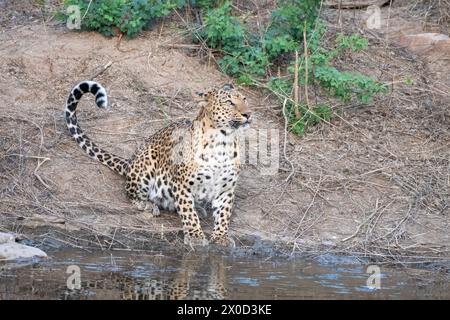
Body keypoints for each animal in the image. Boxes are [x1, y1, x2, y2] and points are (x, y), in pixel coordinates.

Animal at [65, 81, 251, 246]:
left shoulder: (226, 188)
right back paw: (148, 205)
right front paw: (195, 236)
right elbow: (188, 212)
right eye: (229, 102)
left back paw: (199, 208)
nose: (248, 114)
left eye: (245, 99)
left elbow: (224, 214)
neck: (223, 141)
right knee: (131, 193)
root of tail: (130, 162)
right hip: (147, 164)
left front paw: (221, 237)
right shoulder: (182, 183)